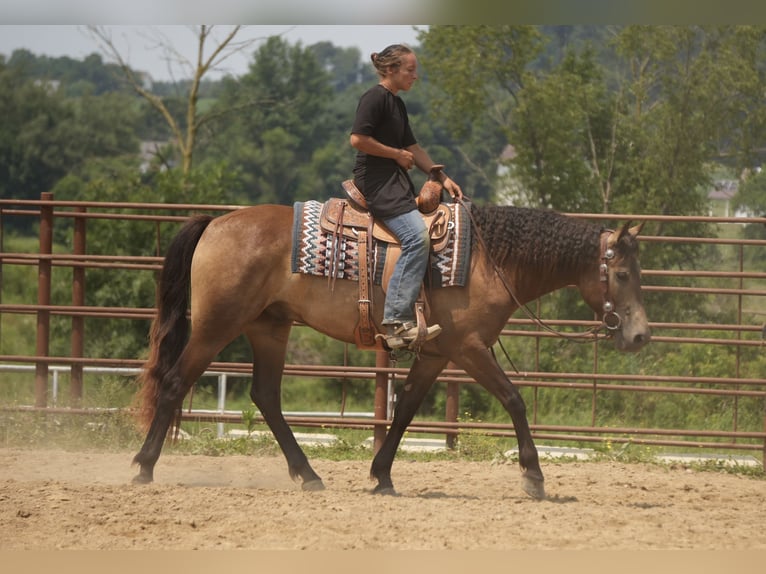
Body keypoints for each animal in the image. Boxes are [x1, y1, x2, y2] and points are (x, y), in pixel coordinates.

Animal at [131, 201, 651, 499]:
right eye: (623, 274)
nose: (640, 336)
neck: (486, 258)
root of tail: (216, 223)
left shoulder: (438, 352)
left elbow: (405, 411)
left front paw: (381, 476)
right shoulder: (469, 347)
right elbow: (514, 399)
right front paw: (534, 476)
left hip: (269, 328)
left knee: (266, 397)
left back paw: (308, 474)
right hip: (217, 325)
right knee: (175, 383)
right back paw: (143, 467)